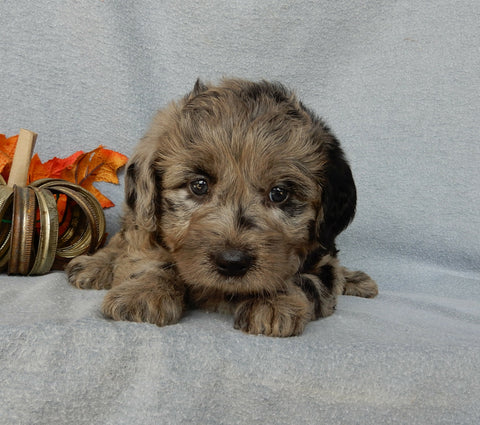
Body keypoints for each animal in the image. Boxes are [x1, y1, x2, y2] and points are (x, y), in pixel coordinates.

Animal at [65, 77, 376, 334]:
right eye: (199, 185)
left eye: (280, 193)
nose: (232, 262)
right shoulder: (147, 232)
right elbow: (149, 258)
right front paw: (144, 293)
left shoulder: (323, 260)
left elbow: (304, 279)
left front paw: (272, 302)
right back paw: (94, 266)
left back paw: (358, 280)